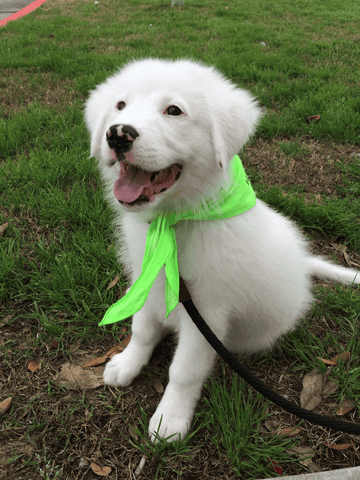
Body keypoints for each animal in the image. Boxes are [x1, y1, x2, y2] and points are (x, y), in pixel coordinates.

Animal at [85, 59, 360, 442]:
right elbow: (142, 328)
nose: (117, 134)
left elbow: (184, 369)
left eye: (174, 110)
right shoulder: (148, 277)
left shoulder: (207, 311)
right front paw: (127, 363)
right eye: (120, 106)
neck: (174, 224)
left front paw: (170, 419)